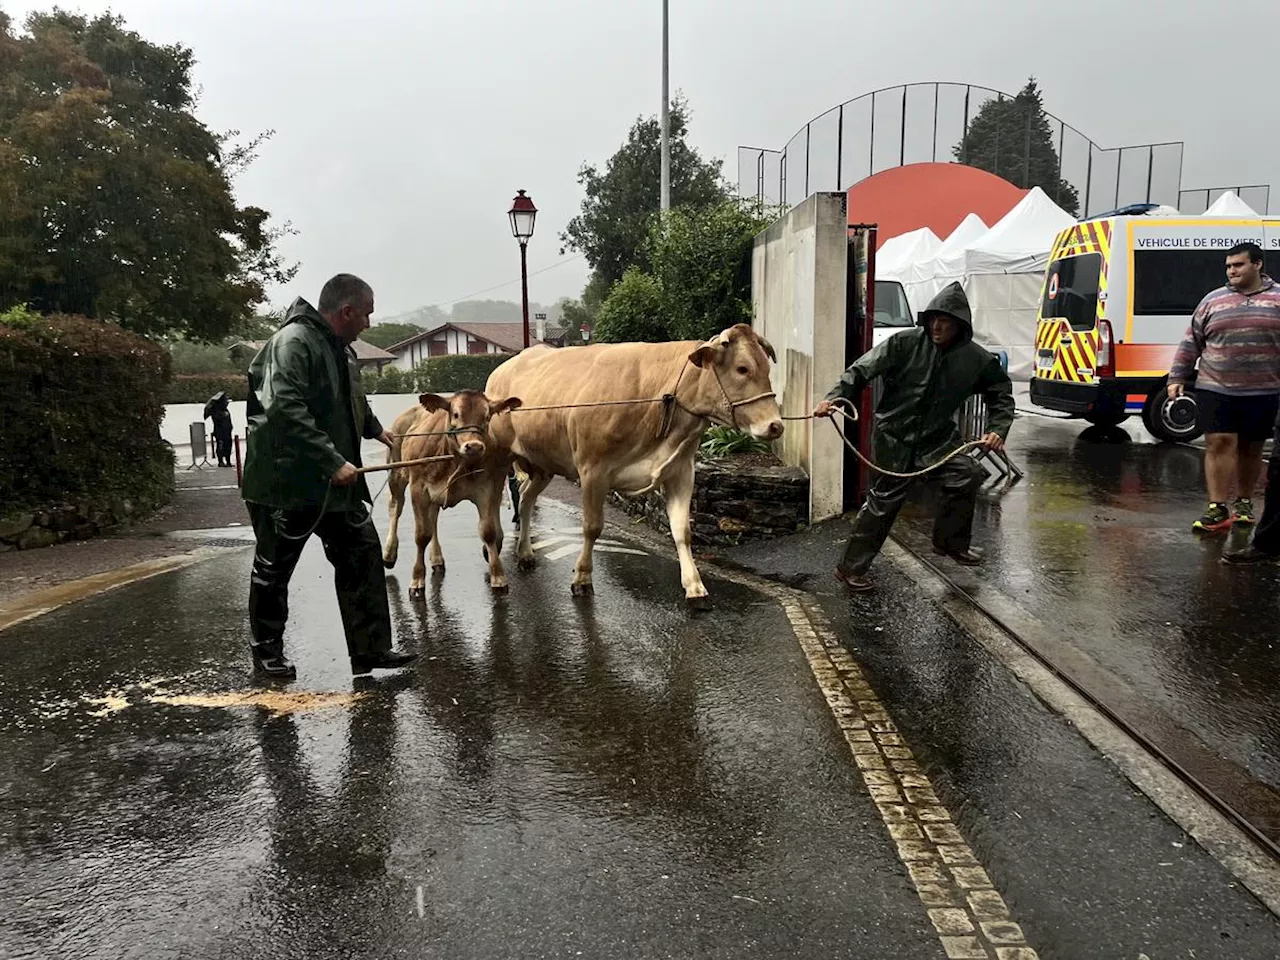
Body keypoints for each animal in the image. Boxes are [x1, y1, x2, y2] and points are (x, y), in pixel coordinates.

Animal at [378, 391, 519, 601]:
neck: (454, 459)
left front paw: (498, 577)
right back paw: (389, 553)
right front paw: (417, 580)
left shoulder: (485, 488)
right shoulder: (418, 489)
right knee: (395, 508)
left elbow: (488, 532)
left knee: (433, 518)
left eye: (487, 417)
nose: (474, 446)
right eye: (456, 414)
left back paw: (436, 558)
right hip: (396, 475)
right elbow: (421, 535)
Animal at [486, 325, 778, 609]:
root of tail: (502, 369)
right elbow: (592, 527)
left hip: (543, 464)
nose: (776, 425)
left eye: (767, 367)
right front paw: (582, 578)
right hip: (499, 460)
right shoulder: (593, 470)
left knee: (525, 498)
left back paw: (525, 553)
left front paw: (695, 586)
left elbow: (682, 530)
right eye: (742, 368)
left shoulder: (681, 470)